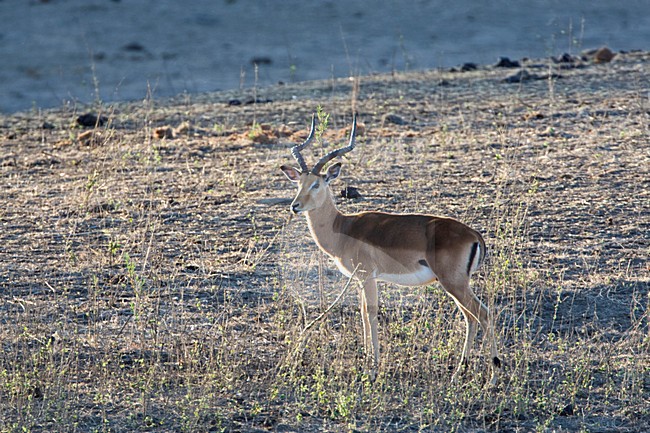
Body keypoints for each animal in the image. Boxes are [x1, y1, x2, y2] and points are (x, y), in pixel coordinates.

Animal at [280, 114, 501, 383]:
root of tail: (473, 234)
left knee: (484, 314)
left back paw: (493, 376)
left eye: (316, 184)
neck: (342, 228)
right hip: (454, 285)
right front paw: (366, 364)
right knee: (471, 318)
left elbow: (370, 313)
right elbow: (363, 313)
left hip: (454, 284)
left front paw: (372, 370)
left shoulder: (367, 277)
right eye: (299, 183)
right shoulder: (360, 280)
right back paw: (459, 371)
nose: (295, 206)